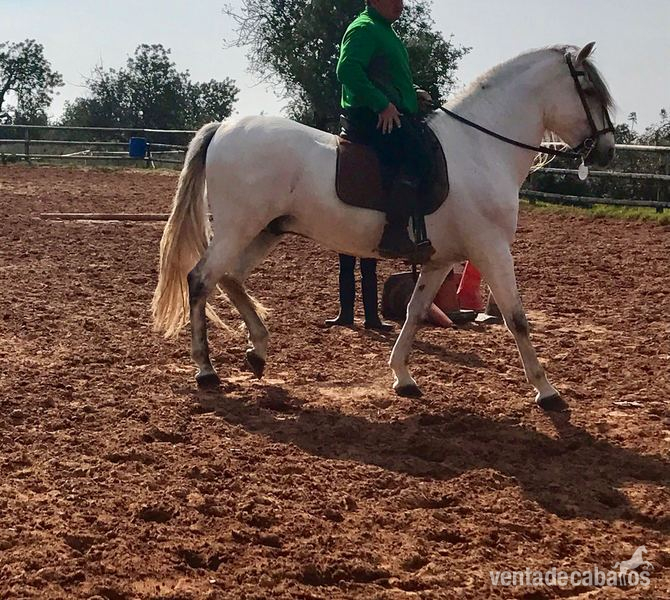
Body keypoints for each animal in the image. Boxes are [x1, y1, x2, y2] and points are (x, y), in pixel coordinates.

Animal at [152, 43, 616, 410]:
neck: (480, 148)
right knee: (201, 279)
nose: (608, 150)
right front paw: (547, 392)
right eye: (590, 90)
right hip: (238, 228)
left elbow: (415, 311)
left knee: (230, 279)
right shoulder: (491, 249)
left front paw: (403, 377)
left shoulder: (440, 260)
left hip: (266, 230)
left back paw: (258, 351)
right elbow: (516, 317)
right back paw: (206, 369)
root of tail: (224, 127)